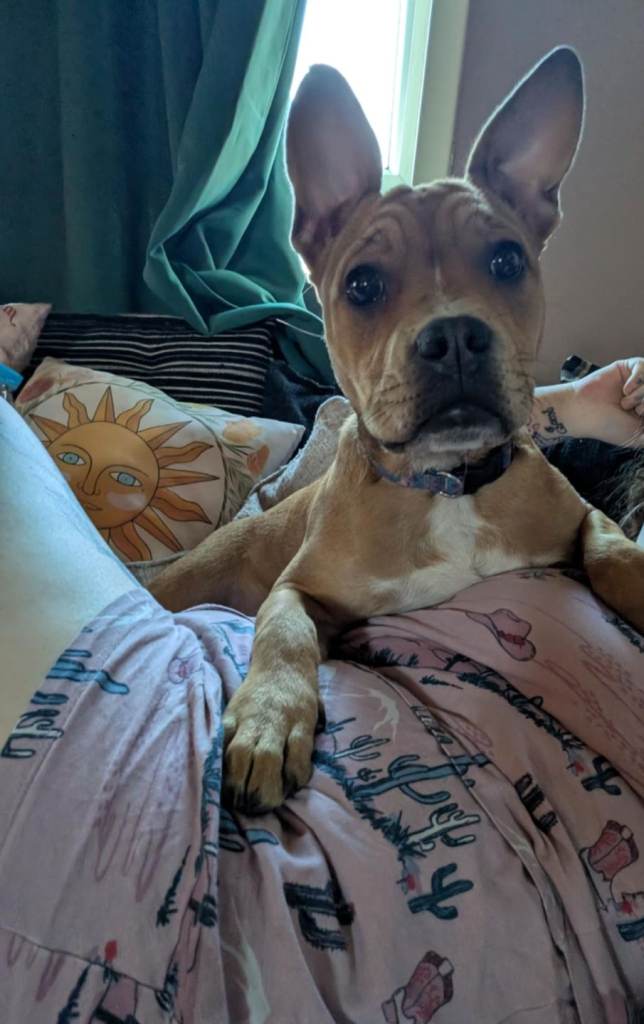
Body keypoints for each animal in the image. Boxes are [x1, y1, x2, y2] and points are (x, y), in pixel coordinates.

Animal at [150, 47, 644, 813]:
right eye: (361, 285)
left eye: (507, 260)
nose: (455, 337)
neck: (446, 484)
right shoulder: (300, 589)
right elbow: (282, 633)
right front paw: (269, 721)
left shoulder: (580, 515)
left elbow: (614, 549)